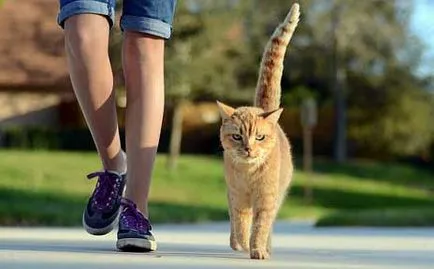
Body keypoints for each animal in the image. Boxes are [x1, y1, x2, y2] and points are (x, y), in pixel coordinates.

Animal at [216, 2, 300, 258]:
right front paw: (244, 243)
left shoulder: (267, 199)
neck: (249, 173)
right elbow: (241, 222)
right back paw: (236, 243)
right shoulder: (237, 197)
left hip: (279, 194)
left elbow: (261, 226)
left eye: (260, 137)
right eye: (237, 136)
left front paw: (258, 250)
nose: (249, 149)